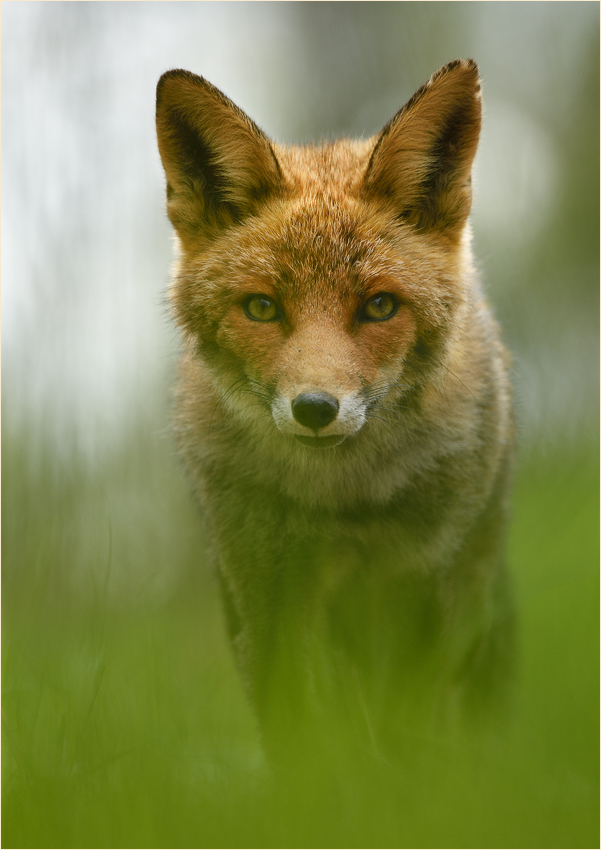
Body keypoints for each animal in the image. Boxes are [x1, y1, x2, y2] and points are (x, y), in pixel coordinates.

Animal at [155, 59, 510, 760]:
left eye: (379, 306)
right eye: (261, 307)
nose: (315, 409)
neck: (347, 501)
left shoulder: (430, 592)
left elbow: (415, 737)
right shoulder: (269, 597)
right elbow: (305, 742)